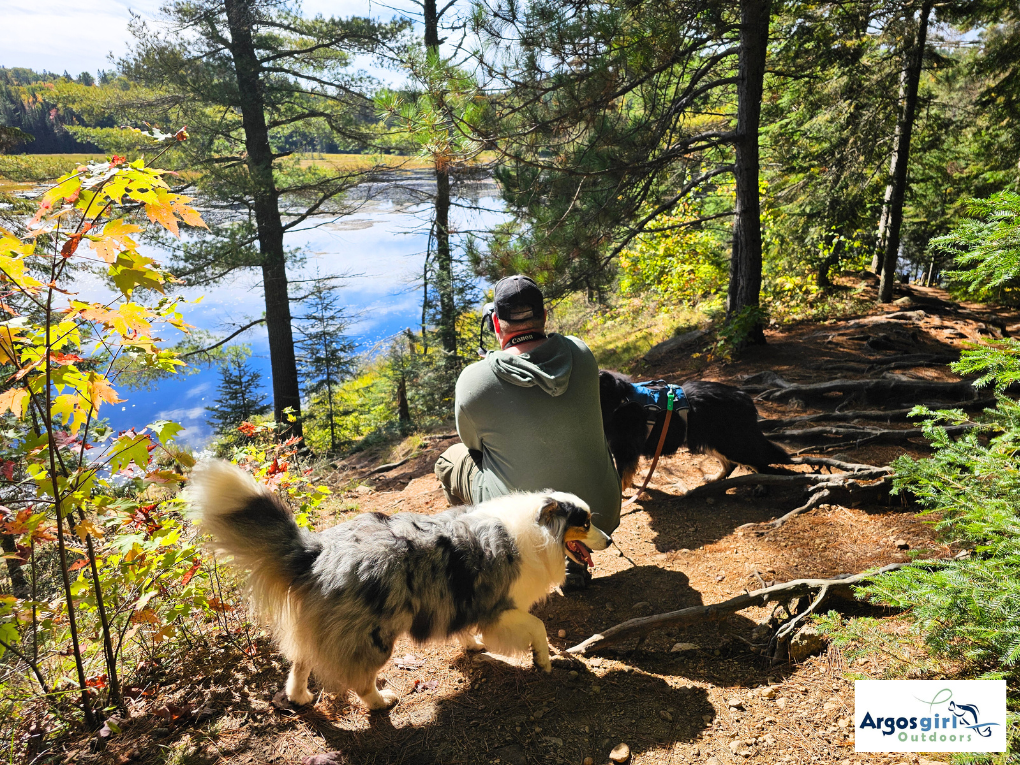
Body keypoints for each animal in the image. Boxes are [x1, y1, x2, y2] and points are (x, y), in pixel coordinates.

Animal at [599, 371, 791, 491]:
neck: (619, 400)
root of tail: (745, 397)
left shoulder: (625, 449)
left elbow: (620, 478)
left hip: (732, 444)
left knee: (760, 460)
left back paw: (761, 485)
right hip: (711, 442)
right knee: (731, 464)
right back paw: (714, 478)